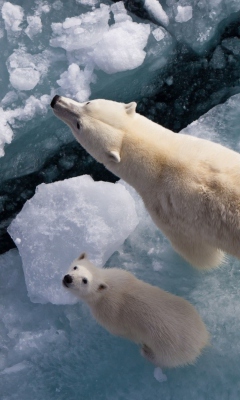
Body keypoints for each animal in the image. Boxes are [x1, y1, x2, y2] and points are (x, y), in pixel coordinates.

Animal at [50, 95, 240, 268]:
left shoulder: (168, 215)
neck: (162, 159)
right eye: (88, 103)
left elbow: (201, 255)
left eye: (79, 125)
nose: (55, 100)